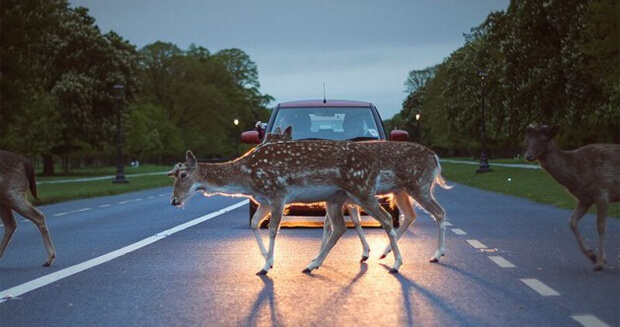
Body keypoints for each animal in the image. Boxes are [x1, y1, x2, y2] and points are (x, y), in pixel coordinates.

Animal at [170, 134, 450, 276]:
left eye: (183, 174)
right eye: (172, 174)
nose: (173, 200)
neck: (248, 177)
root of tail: (436, 158)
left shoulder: (278, 193)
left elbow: (273, 230)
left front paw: (266, 266)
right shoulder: (263, 200)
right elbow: (254, 224)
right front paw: (266, 261)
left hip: (373, 189)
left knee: (394, 217)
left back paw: (402, 261)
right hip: (347, 195)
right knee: (346, 226)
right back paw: (313, 264)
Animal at [524, 124, 620, 270]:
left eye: (544, 140)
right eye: (527, 140)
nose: (528, 155)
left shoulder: (603, 193)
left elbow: (601, 226)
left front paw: (599, 263)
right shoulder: (585, 199)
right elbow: (572, 222)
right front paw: (593, 256)